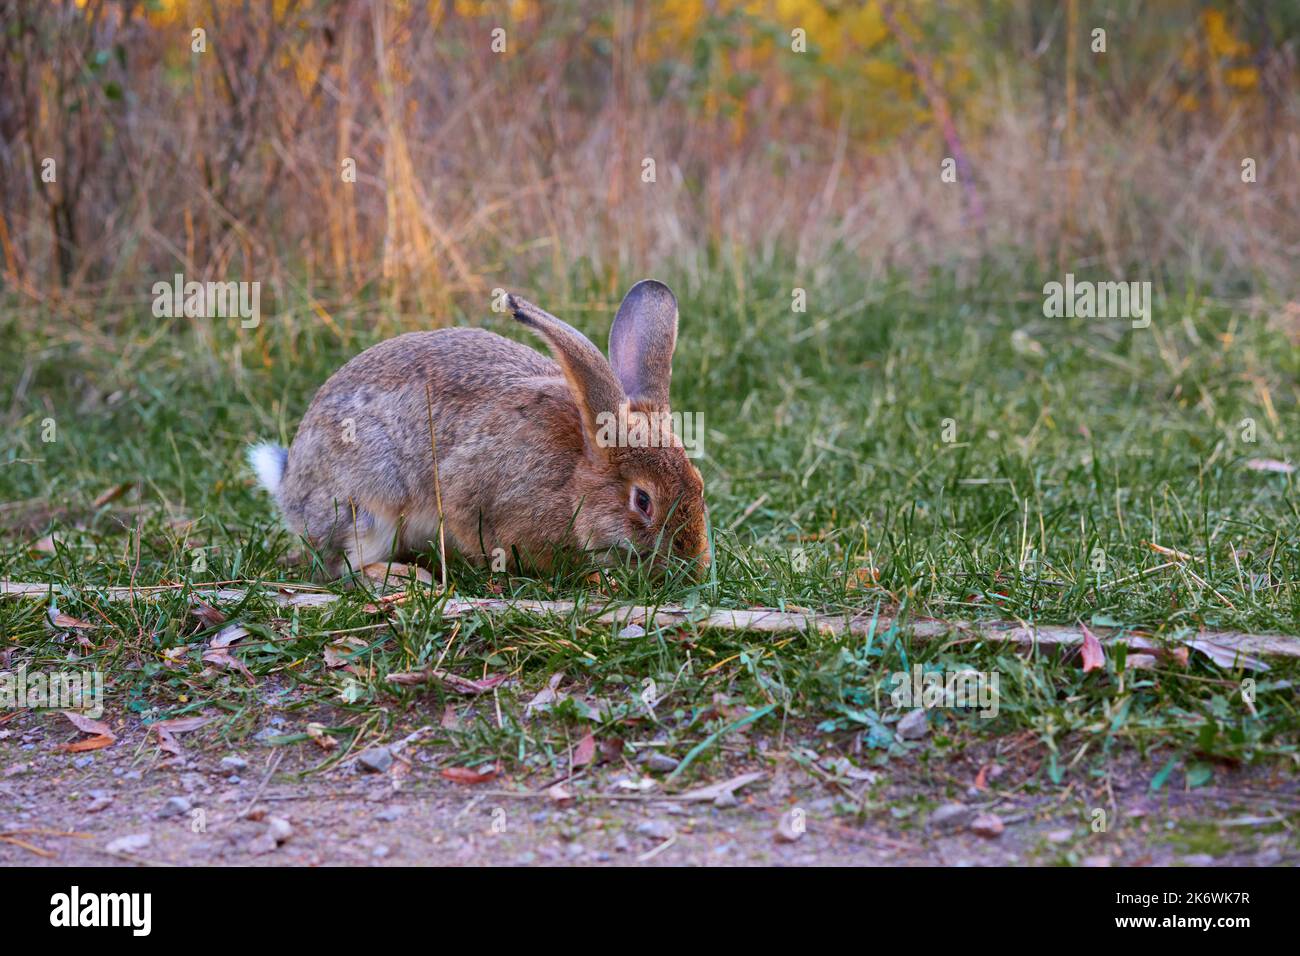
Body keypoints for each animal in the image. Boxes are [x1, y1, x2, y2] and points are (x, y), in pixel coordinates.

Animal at [247, 279, 710, 579]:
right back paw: (406, 578)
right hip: (371, 505)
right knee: (344, 565)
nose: (692, 564)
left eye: (700, 484)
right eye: (643, 501)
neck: (575, 478)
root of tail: (289, 486)